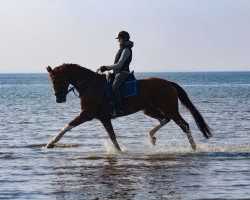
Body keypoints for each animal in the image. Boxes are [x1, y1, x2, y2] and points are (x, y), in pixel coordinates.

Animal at [46, 63, 212, 152]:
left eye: (57, 80)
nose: (58, 99)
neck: (90, 85)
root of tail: (169, 83)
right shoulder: (104, 118)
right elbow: (113, 137)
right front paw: (120, 152)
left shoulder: (87, 114)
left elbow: (68, 126)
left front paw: (50, 143)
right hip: (149, 109)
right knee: (165, 120)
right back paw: (151, 137)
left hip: (169, 108)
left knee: (184, 125)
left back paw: (194, 148)